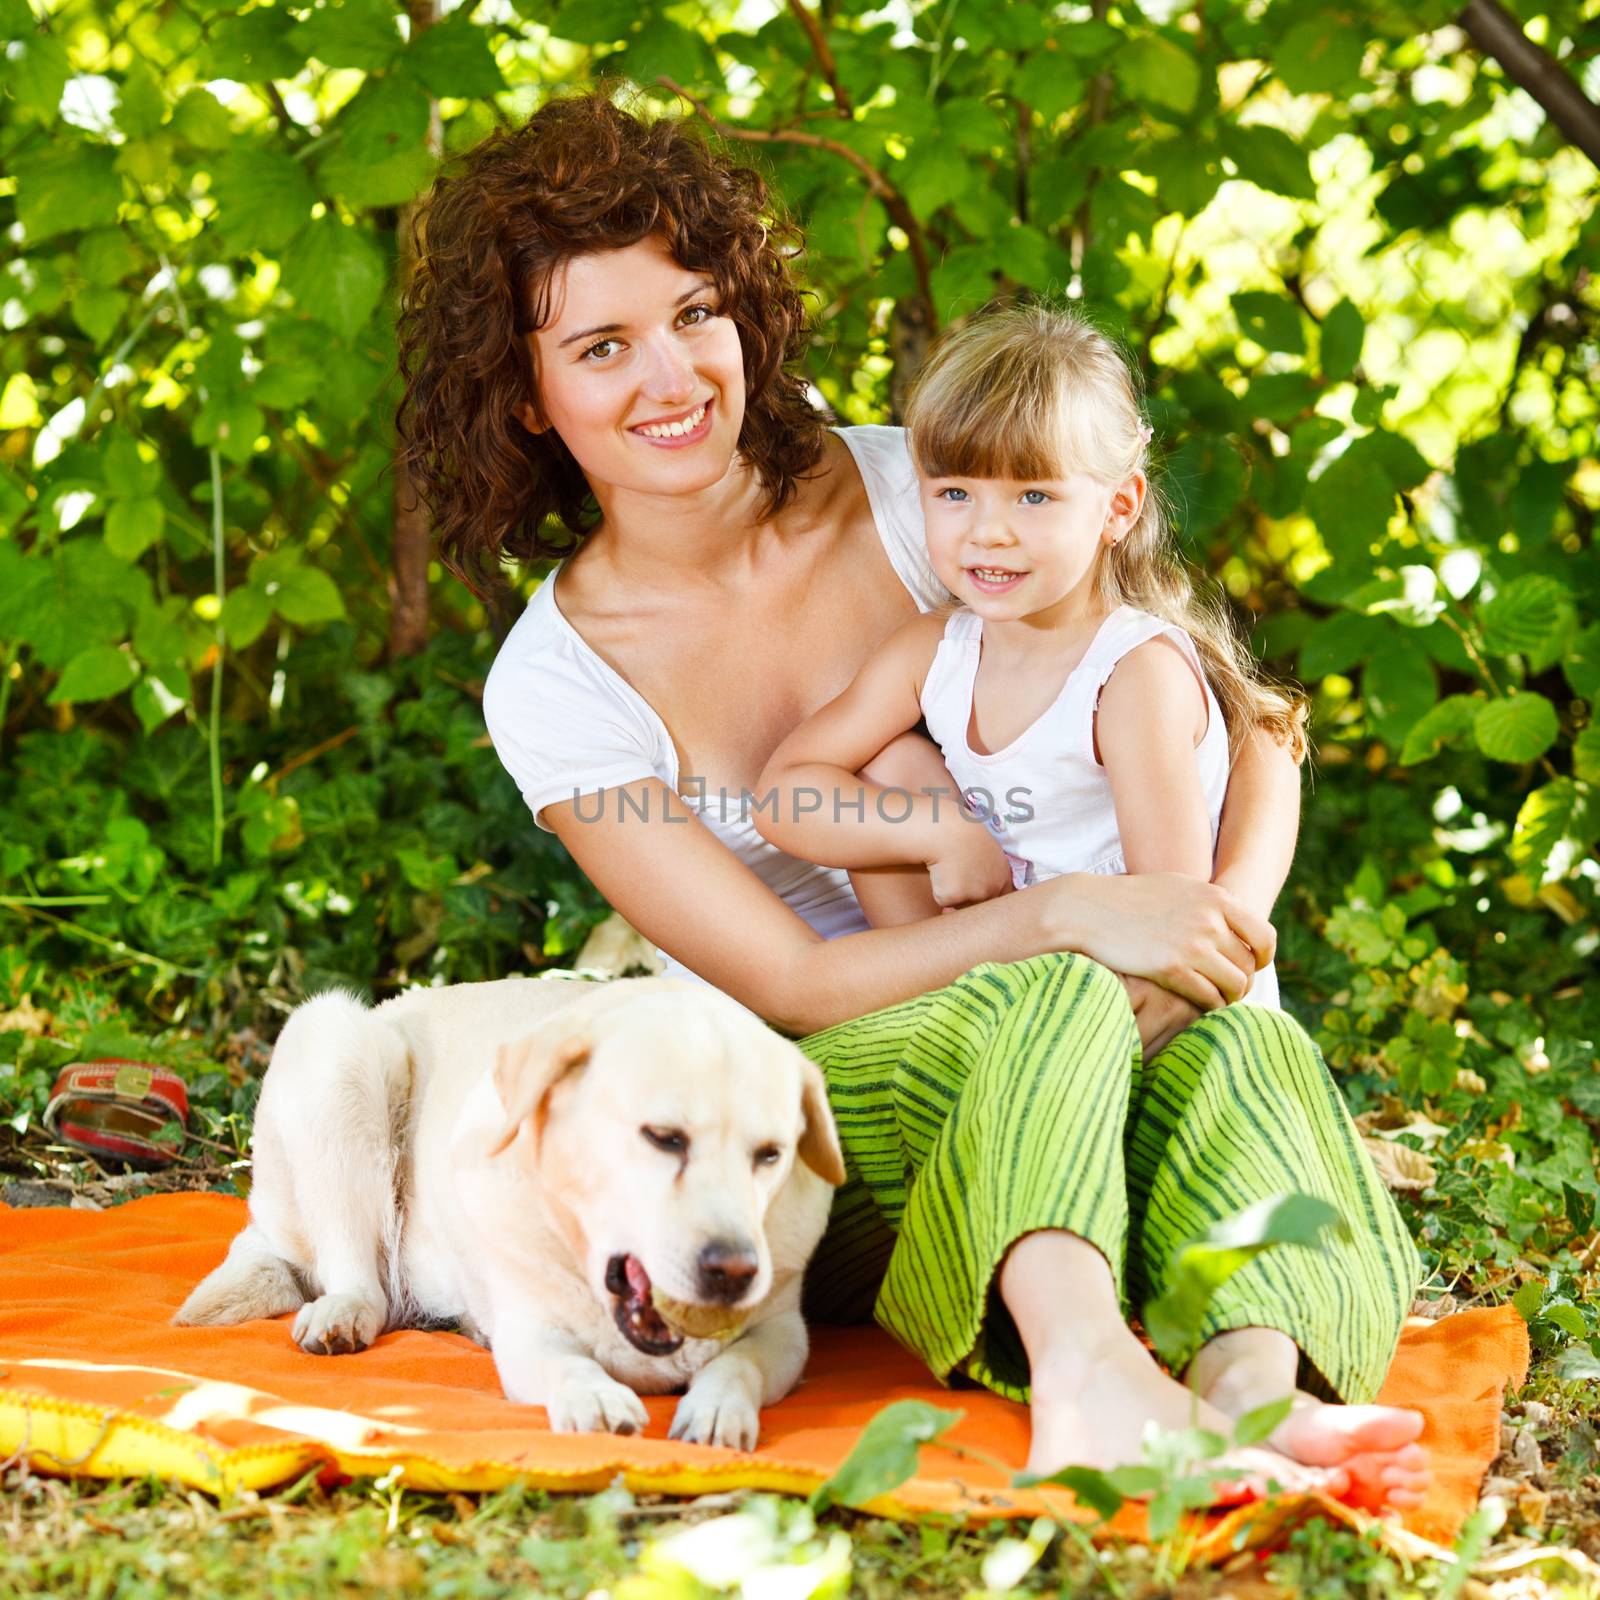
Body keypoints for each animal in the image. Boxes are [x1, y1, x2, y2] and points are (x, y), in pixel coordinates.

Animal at [176, 972, 851, 1452]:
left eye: (770, 1155)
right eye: (664, 1138)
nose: (734, 1270)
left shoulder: (784, 1331)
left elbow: (739, 1365)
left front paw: (717, 1408)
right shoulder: (530, 1334)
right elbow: (568, 1367)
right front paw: (595, 1401)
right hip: (336, 1045)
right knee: (359, 1278)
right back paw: (343, 1314)